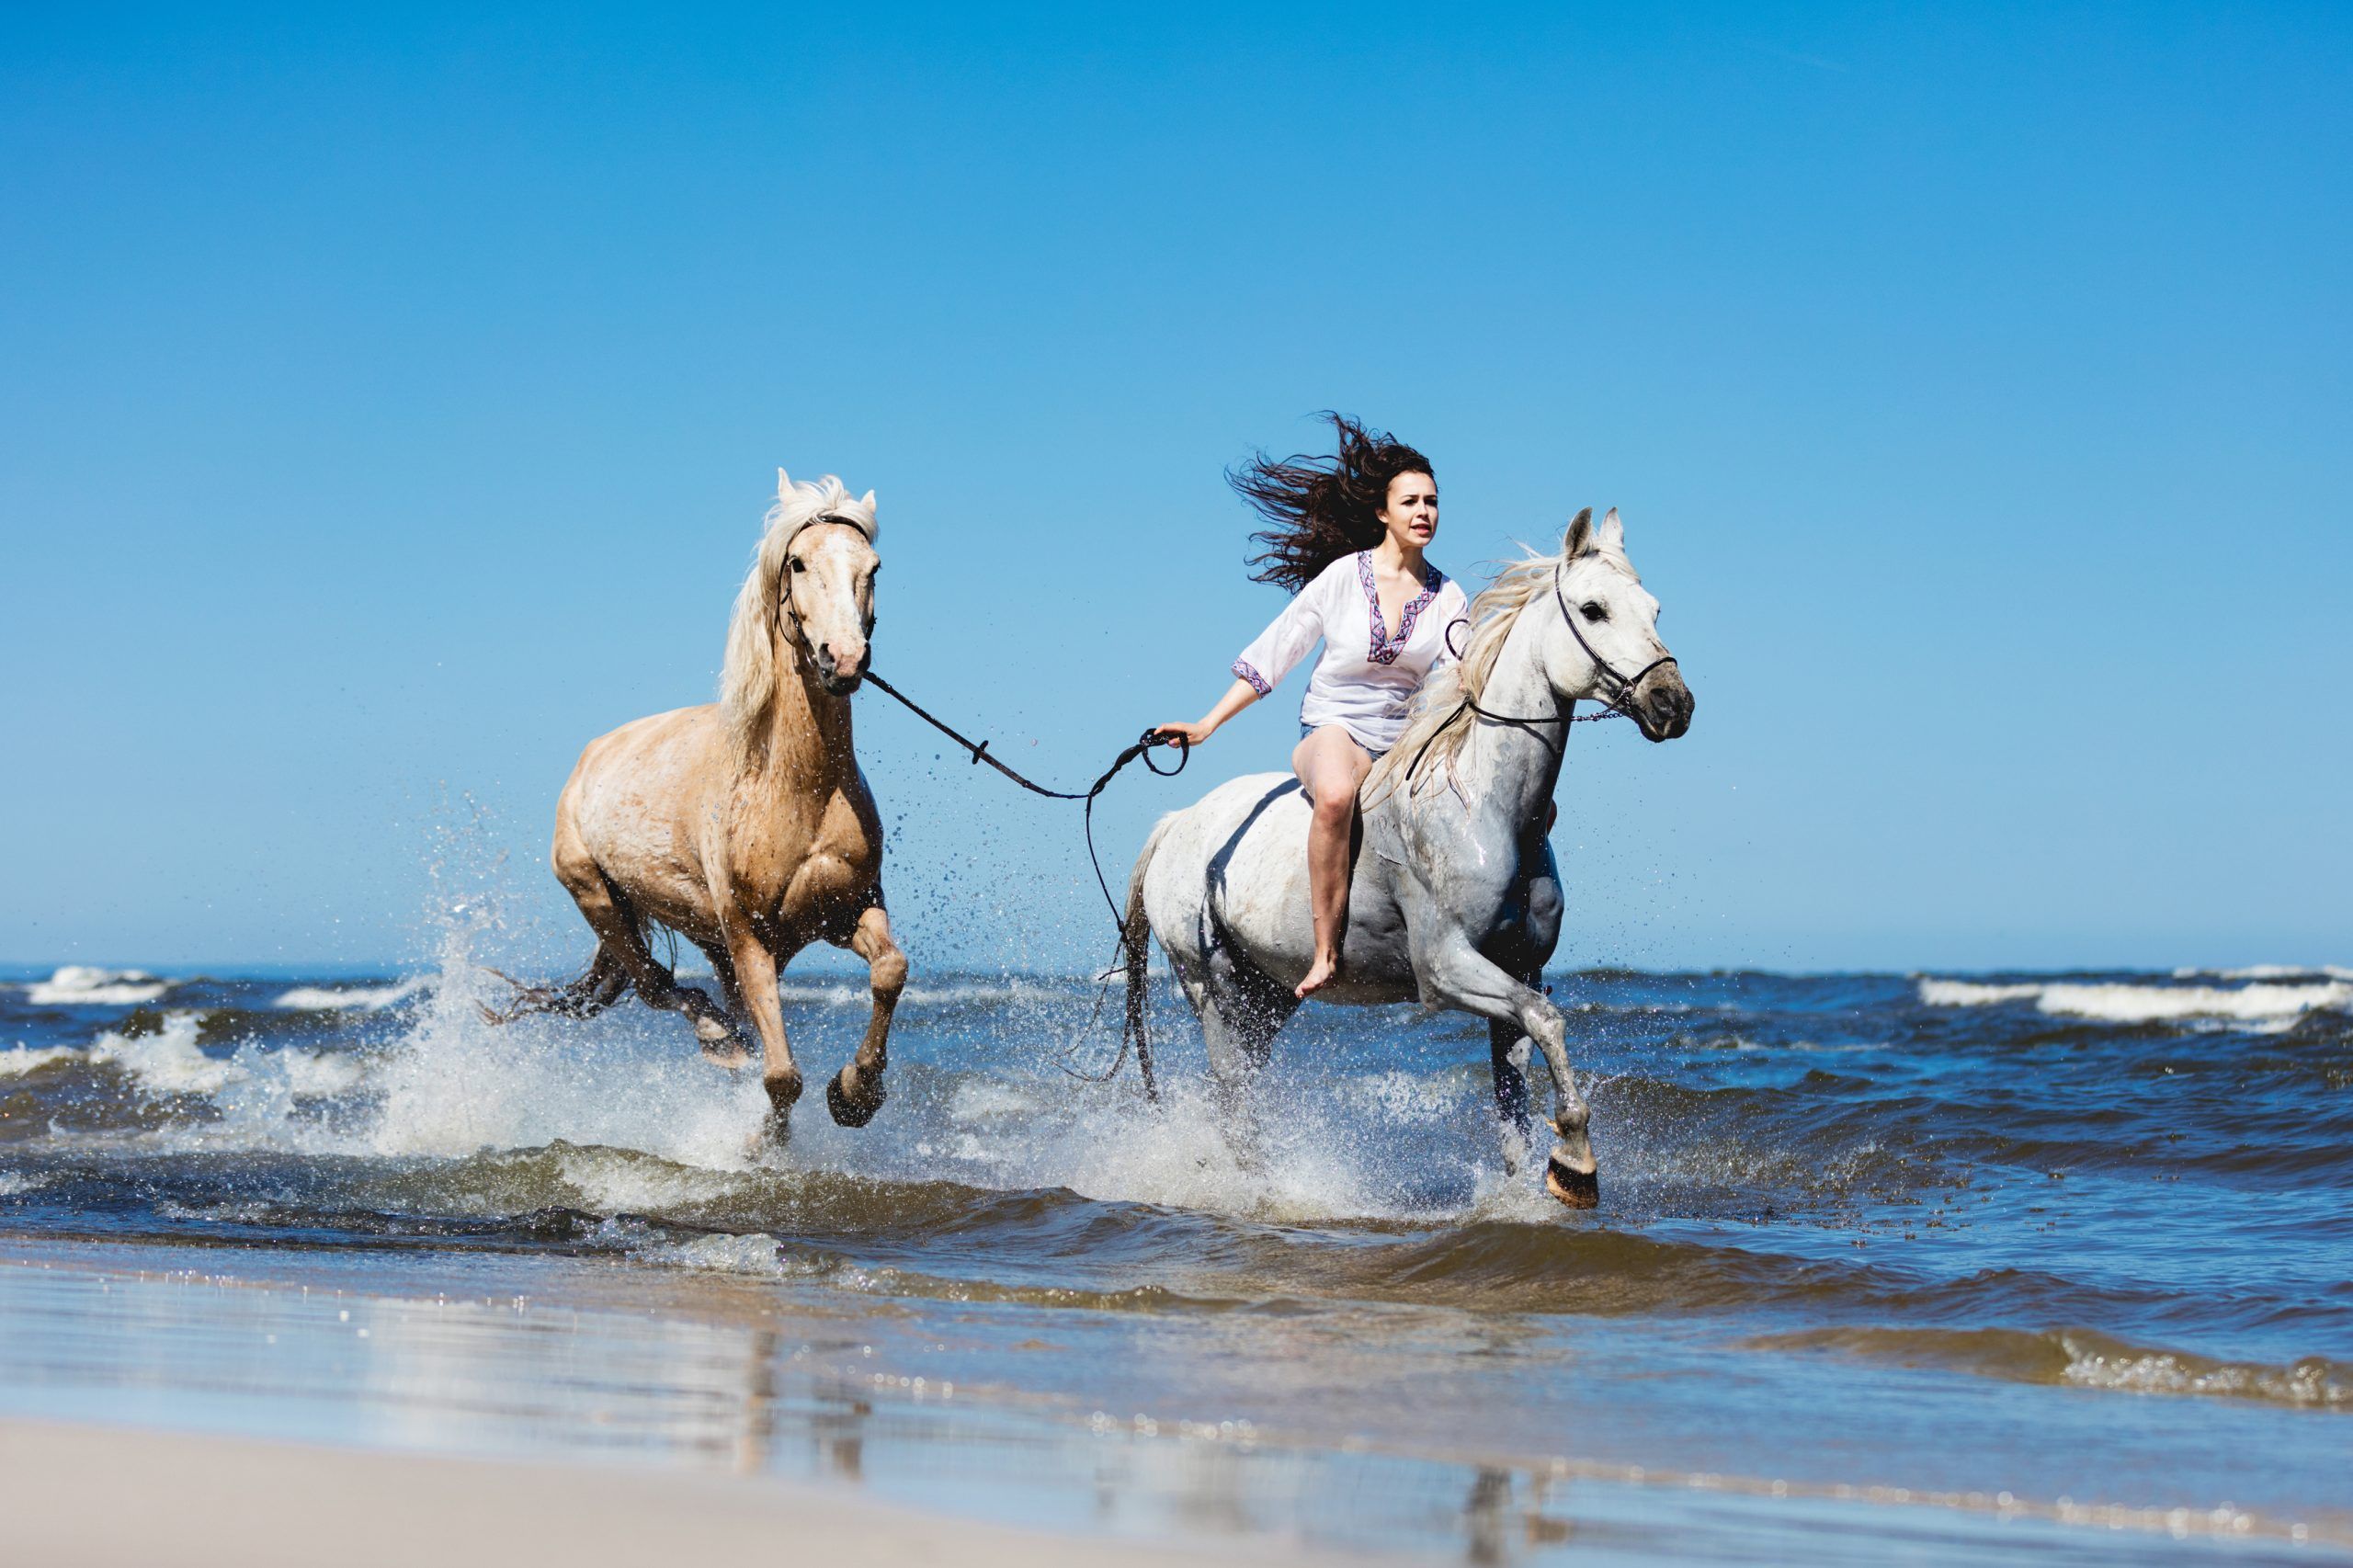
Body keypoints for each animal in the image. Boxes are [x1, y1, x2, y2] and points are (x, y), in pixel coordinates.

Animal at [486, 469, 905, 1141]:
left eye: (873, 566)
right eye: (797, 563)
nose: (842, 659)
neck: (795, 789)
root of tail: (589, 759)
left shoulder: (849, 909)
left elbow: (890, 971)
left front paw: (855, 1094)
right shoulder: (749, 935)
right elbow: (781, 1078)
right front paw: (764, 1146)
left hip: (708, 941)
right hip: (600, 899)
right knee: (656, 985)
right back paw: (716, 1036)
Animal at [1121, 507, 1694, 1208]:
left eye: (1654, 609)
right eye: (1593, 609)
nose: (1674, 703)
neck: (1483, 803)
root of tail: (1176, 824)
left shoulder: (1520, 969)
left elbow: (1516, 1095)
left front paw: (1536, 1181)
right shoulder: (1445, 970)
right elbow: (1550, 1021)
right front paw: (1576, 1166)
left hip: (1267, 998)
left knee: (1240, 1097)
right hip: (1214, 990)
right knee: (1232, 1103)